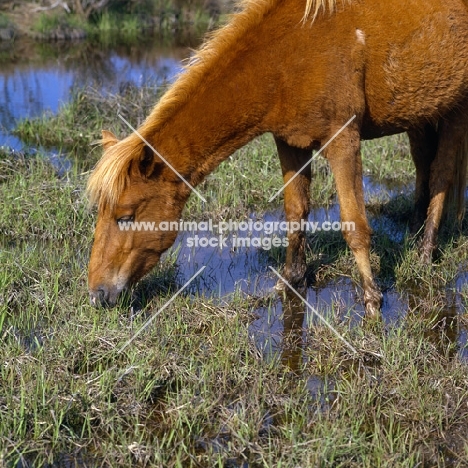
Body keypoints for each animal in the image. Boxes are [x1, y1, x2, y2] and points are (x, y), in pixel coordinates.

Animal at [86, 0, 468, 318]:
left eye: (126, 217)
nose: (97, 294)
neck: (289, 54)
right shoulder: (290, 142)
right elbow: (295, 212)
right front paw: (291, 281)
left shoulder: (344, 141)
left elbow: (354, 224)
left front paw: (372, 300)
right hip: (421, 112)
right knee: (423, 164)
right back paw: (414, 228)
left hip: (454, 110)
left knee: (441, 175)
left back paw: (425, 252)